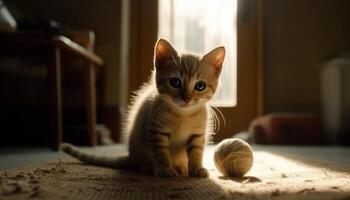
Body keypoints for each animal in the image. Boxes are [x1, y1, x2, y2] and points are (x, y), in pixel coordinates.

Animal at [61, 39, 226, 178]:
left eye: (200, 86)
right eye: (175, 82)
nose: (186, 98)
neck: (182, 115)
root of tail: (131, 155)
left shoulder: (197, 135)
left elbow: (196, 153)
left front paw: (196, 168)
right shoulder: (156, 131)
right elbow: (161, 153)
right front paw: (165, 168)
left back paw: (181, 168)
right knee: (143, 161)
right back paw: (148, 167)